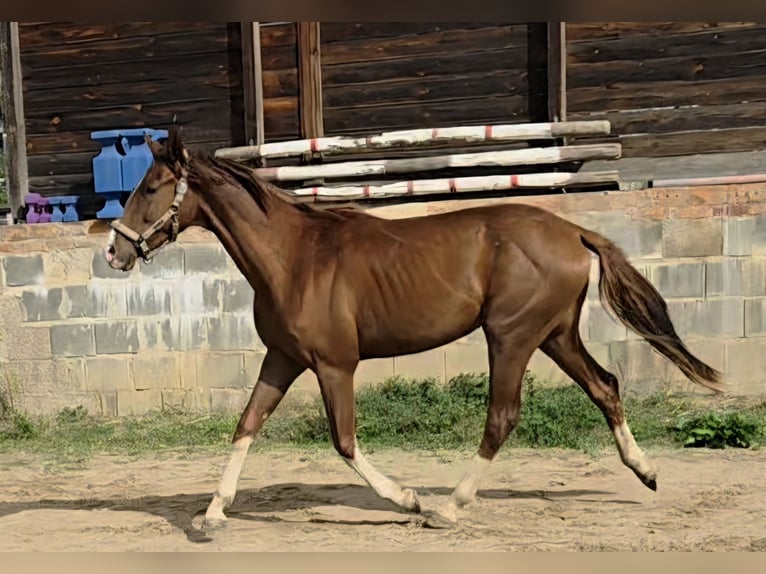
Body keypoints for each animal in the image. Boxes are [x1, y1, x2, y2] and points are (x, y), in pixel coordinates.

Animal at [104, 131, 724, 529]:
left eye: (151, 189)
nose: (113, 252)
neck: (296, 257)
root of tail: (573, 231)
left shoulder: (334, 364)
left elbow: (344, 441)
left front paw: (408, 500)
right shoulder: (282, 357)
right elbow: (246, 424)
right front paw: (212, 513)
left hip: (512, 337)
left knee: (503, 416)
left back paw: (447, 507)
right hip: (555, 334)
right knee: (606, 386)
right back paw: (645, 472)